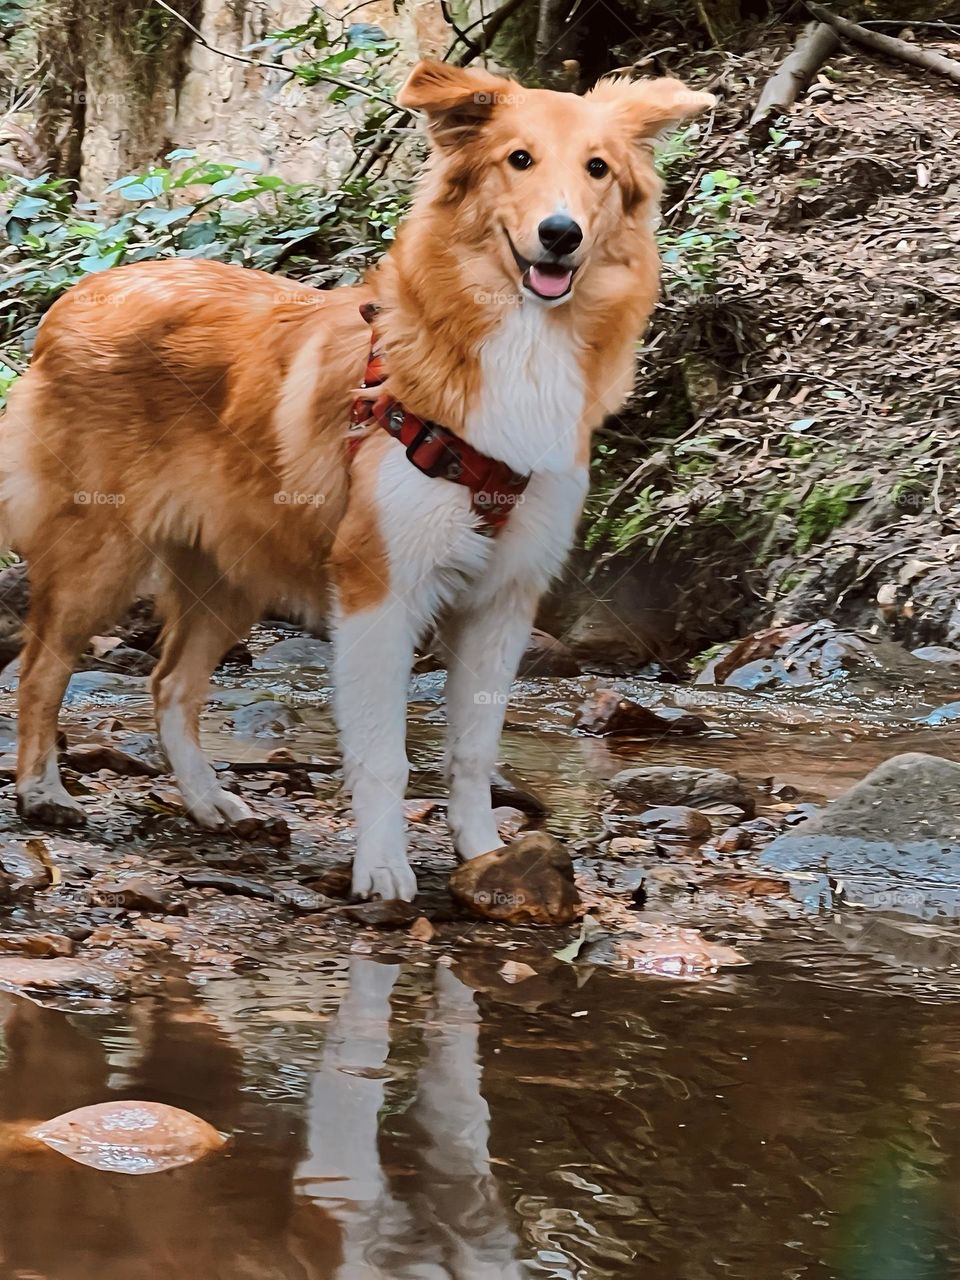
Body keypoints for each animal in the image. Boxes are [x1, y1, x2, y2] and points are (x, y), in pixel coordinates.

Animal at [0, 60, 716, 901]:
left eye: (597, 169)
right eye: (519, 159)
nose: (561, 235)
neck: (516, 347)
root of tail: (76, 296)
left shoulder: (504, 605)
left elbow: (474, 751)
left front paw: (486, 857)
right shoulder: (380, 592)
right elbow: (383, 756)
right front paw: (382, 868)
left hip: (230, 574)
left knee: (170, 685)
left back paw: (209, 803)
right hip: (100, 555)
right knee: (43, 667)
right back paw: (42, 792)